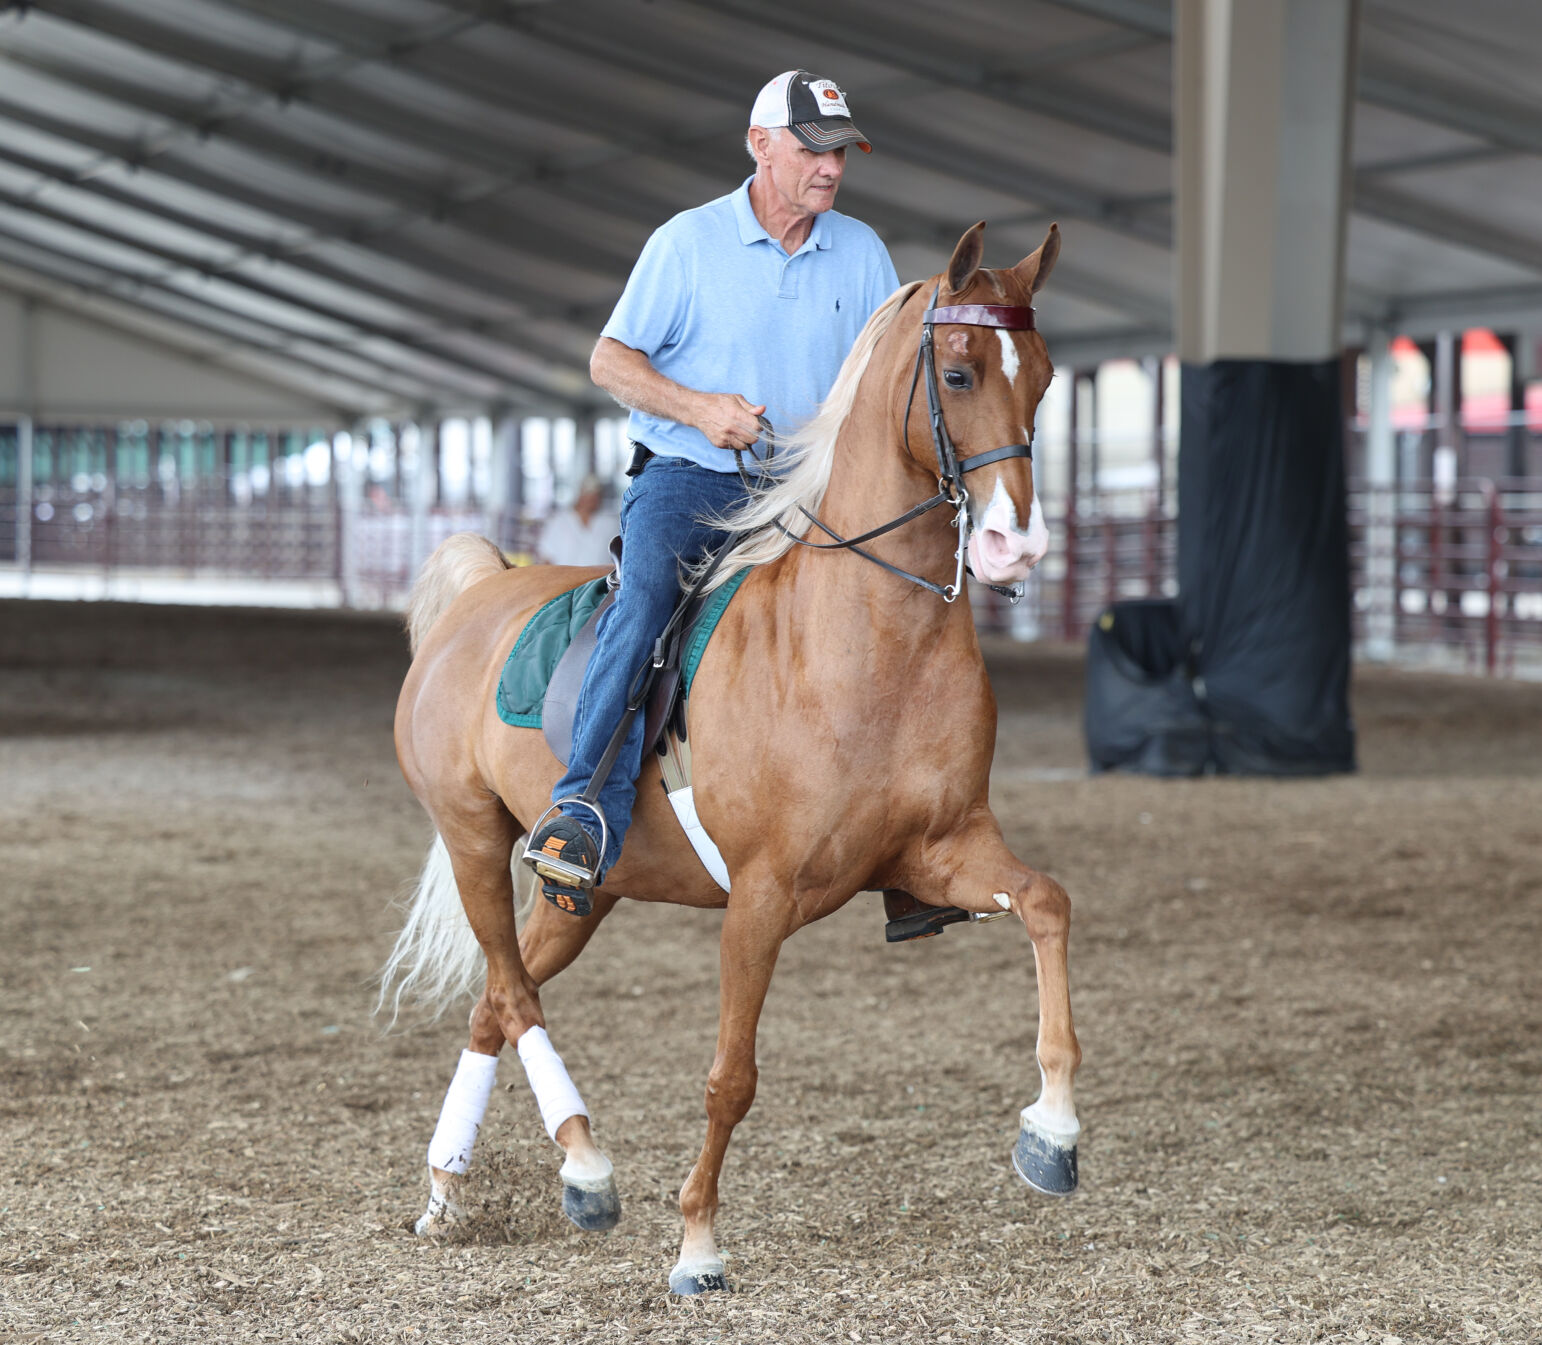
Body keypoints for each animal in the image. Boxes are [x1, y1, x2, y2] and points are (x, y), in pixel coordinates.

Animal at [382, 221, 1082, 1295]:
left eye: (1042, 380)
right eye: (959, 373)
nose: (1016, 545)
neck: (868, 642)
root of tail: (479, 594)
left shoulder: (942, 851)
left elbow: (1047, 903)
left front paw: (1052, 1133)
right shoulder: (760, 894)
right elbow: (731, 1076)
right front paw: (698, 1245)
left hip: (586, 890)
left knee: (496, 1004)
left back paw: (452, 1189)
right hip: (472, 838)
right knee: (511, 990)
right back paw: (586, 1165)